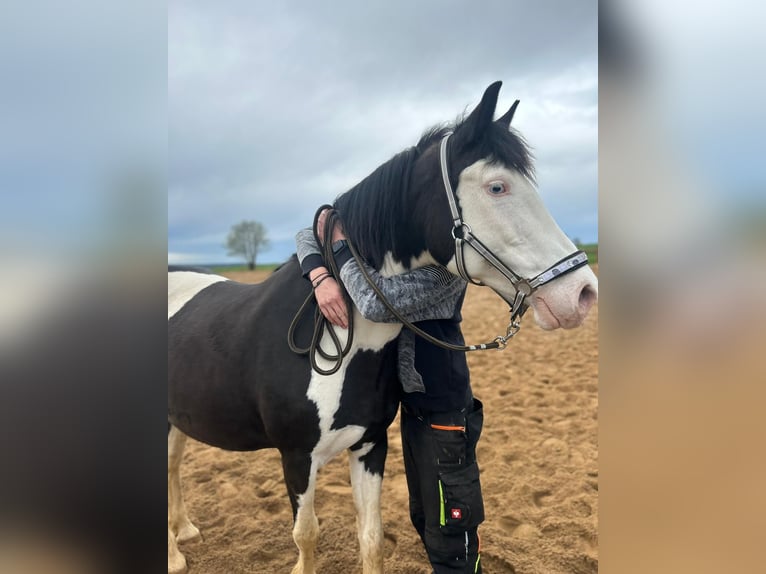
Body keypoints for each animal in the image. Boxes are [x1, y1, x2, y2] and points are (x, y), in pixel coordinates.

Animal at [168, 82, 600, 574]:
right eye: (497, 186)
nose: (582, 293)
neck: (335, 337)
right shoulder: (297, 458)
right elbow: (306, 536)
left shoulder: (370, 447)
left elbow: (371, 539)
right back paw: (174, 556)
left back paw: (184, 532)